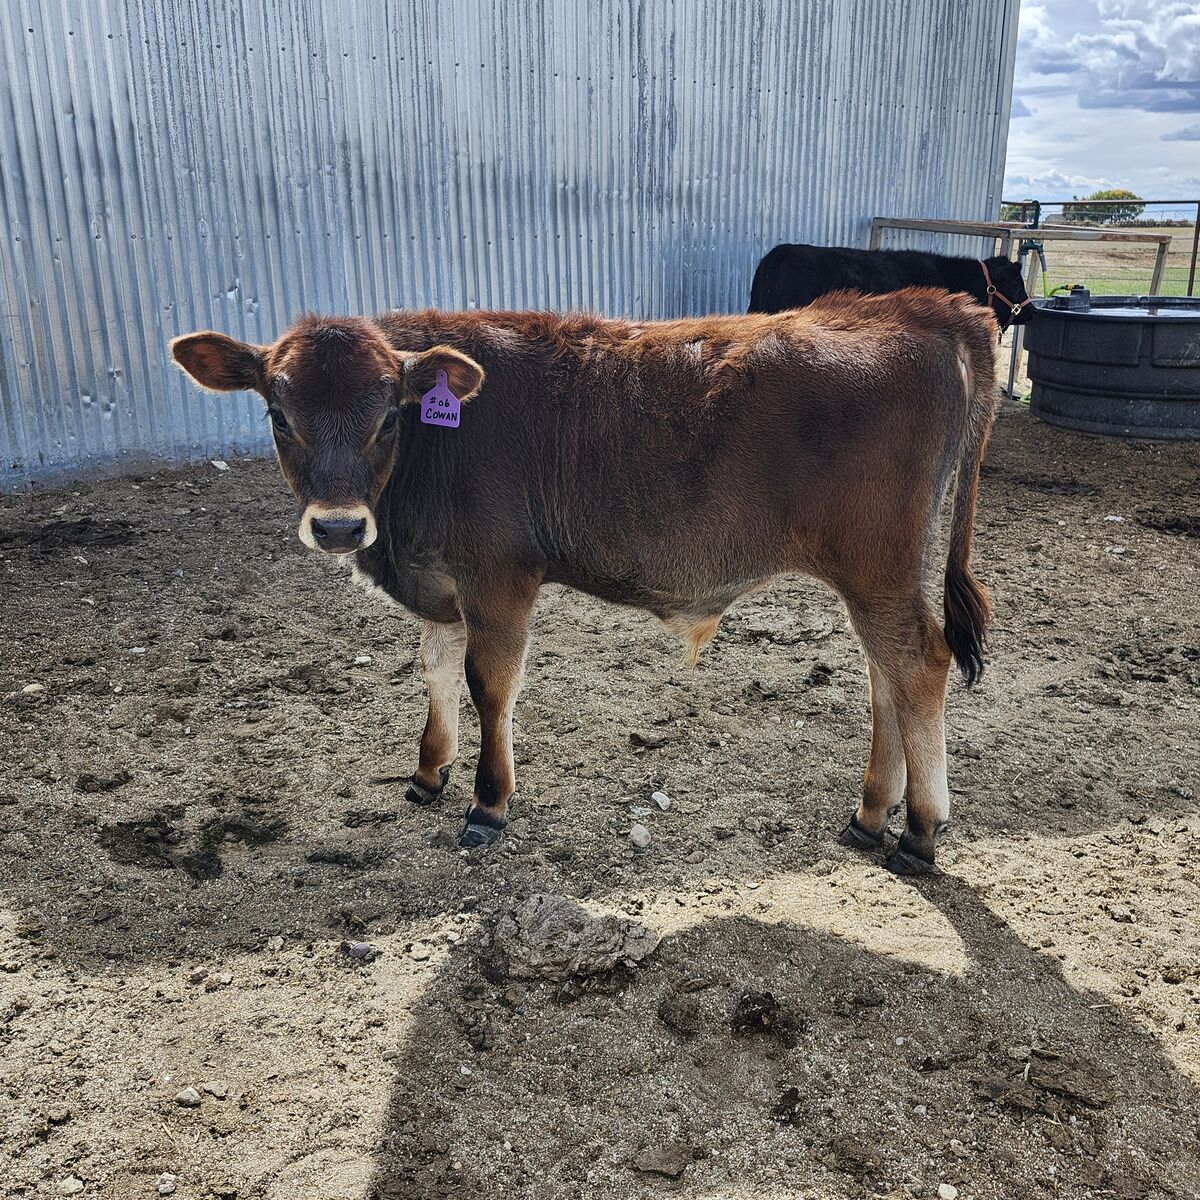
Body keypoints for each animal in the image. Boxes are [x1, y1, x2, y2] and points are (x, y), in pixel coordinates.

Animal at [170, 289, 998, 874]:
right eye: (279, 415)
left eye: (388, 415)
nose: (339, 527)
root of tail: (918, 305)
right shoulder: (440, 583)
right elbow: (436, 668)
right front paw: (430, 770)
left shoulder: (500, 575)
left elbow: (489, 683)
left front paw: (488, 803)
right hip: (876, 579)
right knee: (884, 677)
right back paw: (870, 815)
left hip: (879, 567)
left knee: (918, 666)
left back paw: (920, 831)